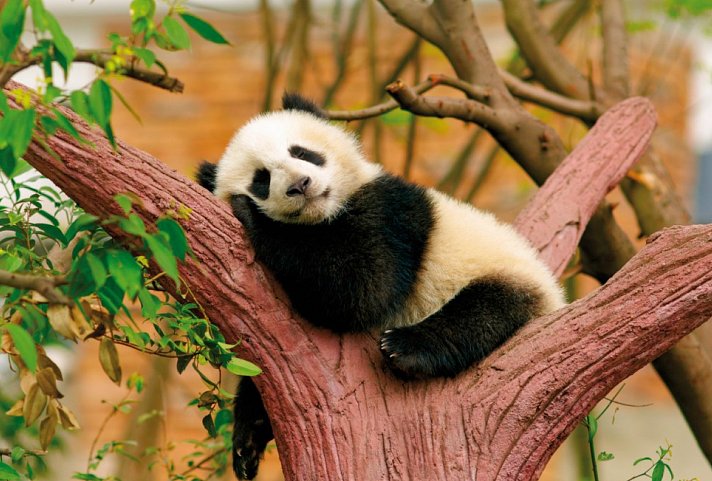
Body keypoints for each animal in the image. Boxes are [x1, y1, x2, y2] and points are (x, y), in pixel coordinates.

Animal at [197, 93, 564, 480]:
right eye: (262, 179)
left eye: (302, 152)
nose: (300, 184)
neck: (324, 216)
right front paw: (248, 438)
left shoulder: (390, 212)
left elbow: (364, 288)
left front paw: (252, 215)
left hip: (504, 273)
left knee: (485, 310)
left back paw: (406, 348)